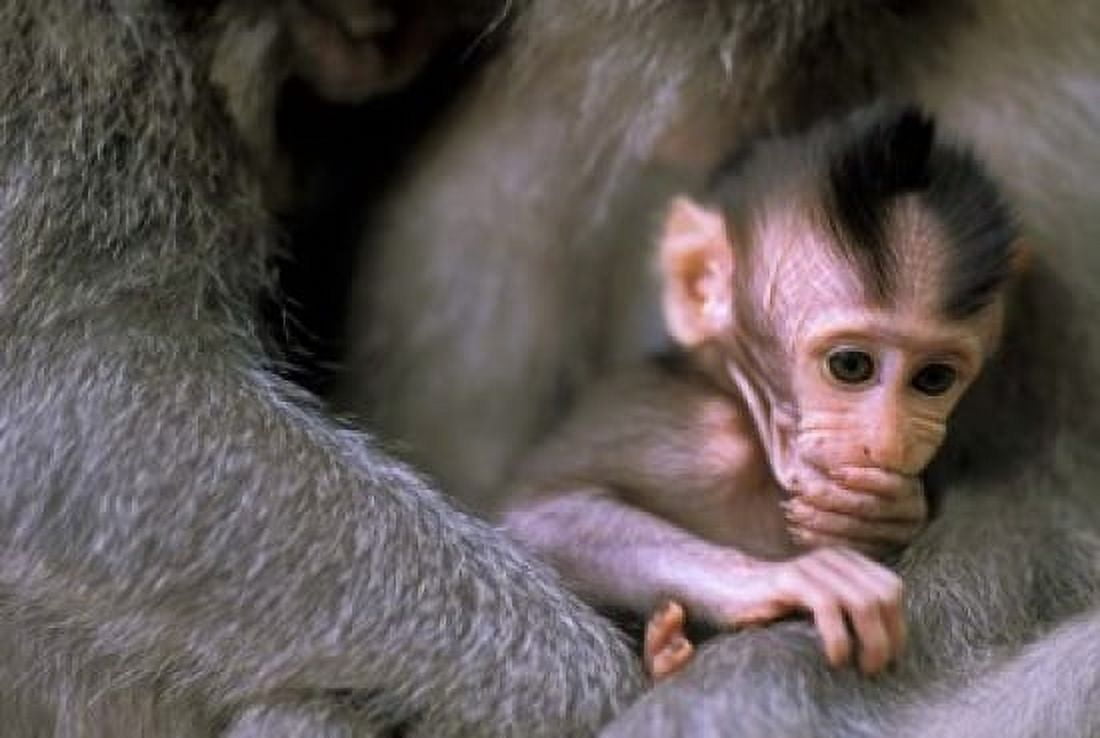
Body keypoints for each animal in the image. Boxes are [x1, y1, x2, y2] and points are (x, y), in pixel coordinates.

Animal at [501, 107, 1017, 680]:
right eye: (851, 366)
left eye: (933, 379)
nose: (888, 442)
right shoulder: (686, 432)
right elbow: (539, 516)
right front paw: (778, 579)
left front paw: (889, 511)